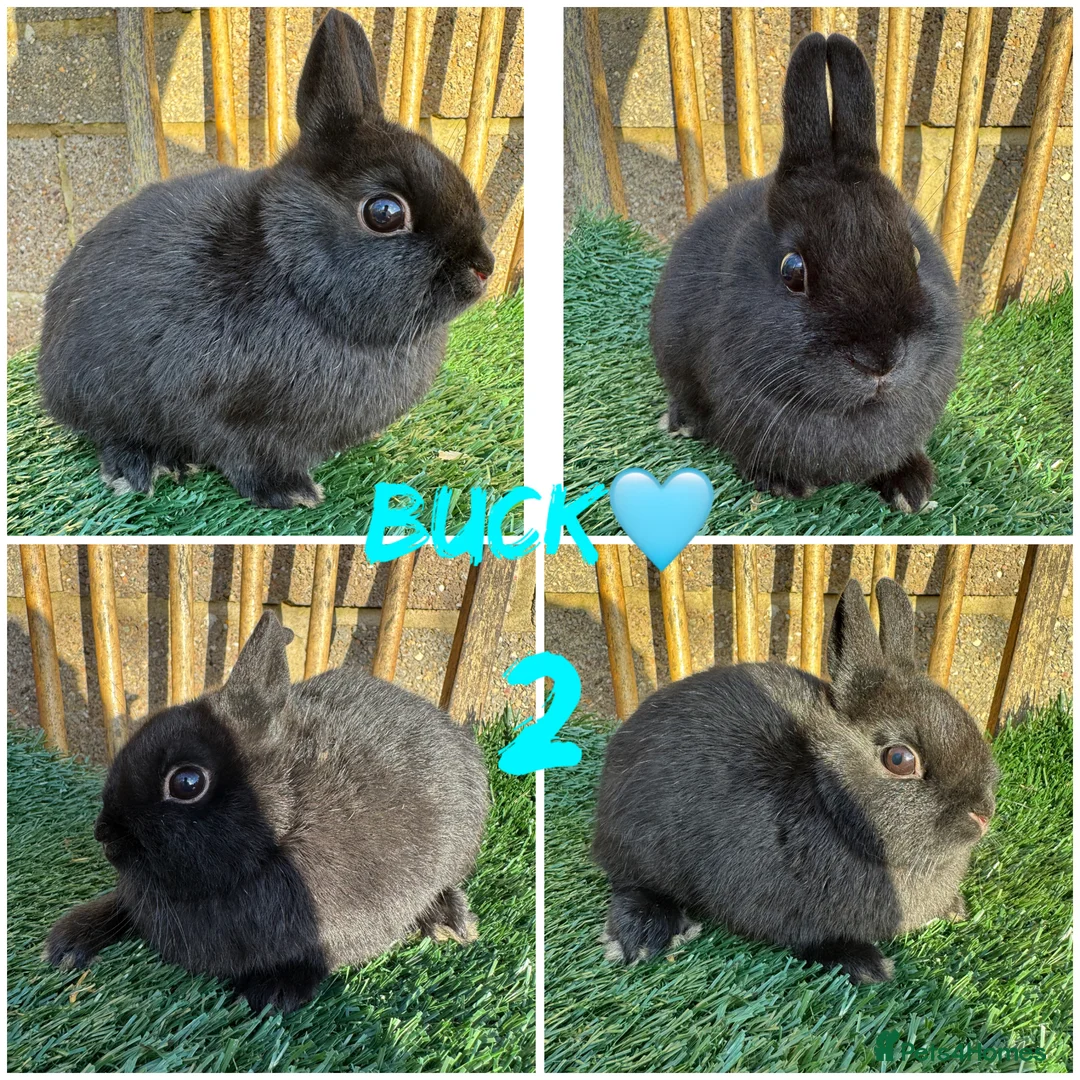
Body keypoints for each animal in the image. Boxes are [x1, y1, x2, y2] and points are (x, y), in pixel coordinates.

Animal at [37, 9, 495, 509]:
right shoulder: (230, 417)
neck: (294, 280)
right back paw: (140, 467)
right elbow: (246, 458)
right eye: (385, 213)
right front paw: (293, 494)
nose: (483, 267)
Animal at [44, 612, 490, 1012]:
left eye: (187, 782)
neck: (283, 831)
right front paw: (67, 943)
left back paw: (450, 921)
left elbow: (320, 957)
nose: (104, 835)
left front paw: (270, 992)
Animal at [592, 577, 998, 984]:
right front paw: (864, 964)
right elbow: (807, 938)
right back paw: (645, 935)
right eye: (899, 759)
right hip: (640, 844)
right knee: (631, 885)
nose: (982, 814)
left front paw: (954, 908)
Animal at [650, 32, 962, 513]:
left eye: (914, 253)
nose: (880, 361)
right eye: (793, 270)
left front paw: (913, 489)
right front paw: (785, 484)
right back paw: (681, 422)